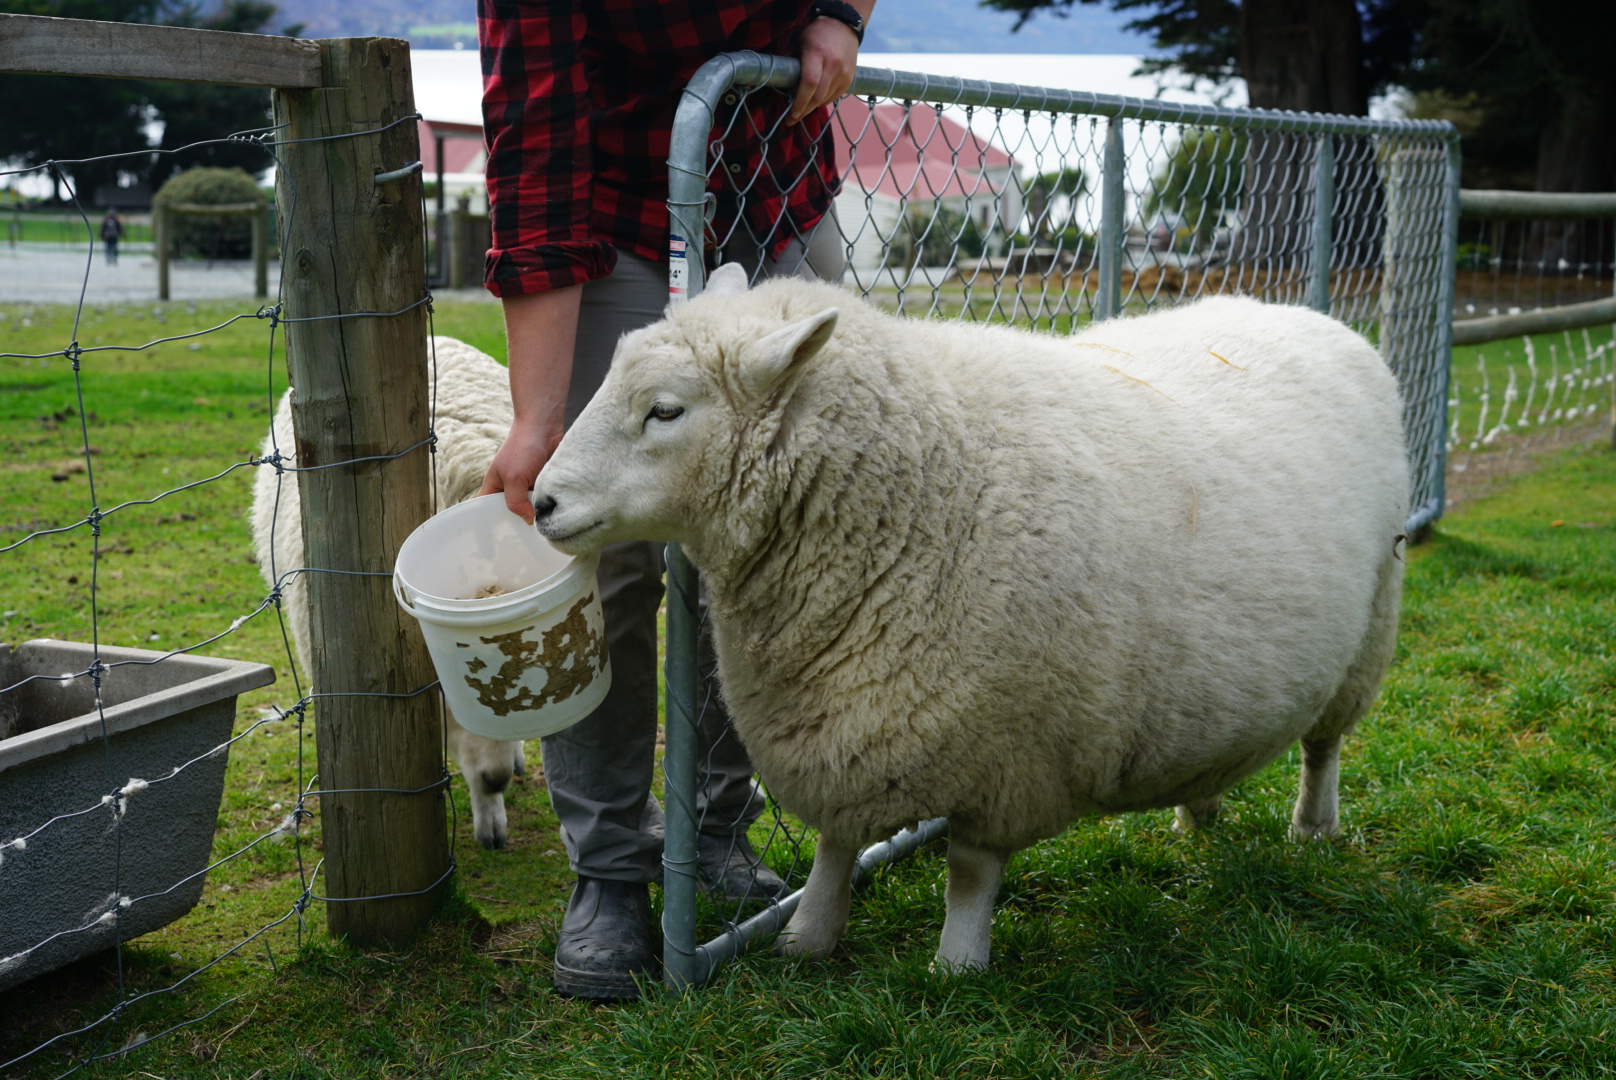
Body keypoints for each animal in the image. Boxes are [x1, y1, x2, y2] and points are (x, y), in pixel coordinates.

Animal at [536, 270, 1409, 970]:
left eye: (665, 411)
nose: (540, 500)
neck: (920, 486)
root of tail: (1309, 314)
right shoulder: (837, 718)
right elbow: (836, 844)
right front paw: (808, 937)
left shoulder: (1007, 752)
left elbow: (969, 869)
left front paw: (957, 964)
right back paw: (1197, 818)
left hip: (1371, 627)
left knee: (1324, 747)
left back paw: (1313, 826)